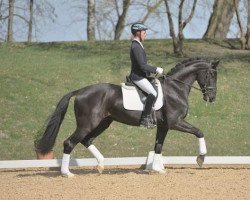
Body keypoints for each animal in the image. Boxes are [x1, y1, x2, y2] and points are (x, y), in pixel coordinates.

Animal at [35, 58, 219, 177]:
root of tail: (80, 91)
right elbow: (199, 132)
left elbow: (158, 146)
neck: (175, 88)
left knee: (86, 140)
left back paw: (101, 165)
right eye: (211, 74)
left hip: (103, 123)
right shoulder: (175, 122)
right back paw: (67, 173)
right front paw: (201, 158)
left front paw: (157, 169)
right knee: (69, 142)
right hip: (87, 124)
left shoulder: (164, 126)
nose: (212, 97)